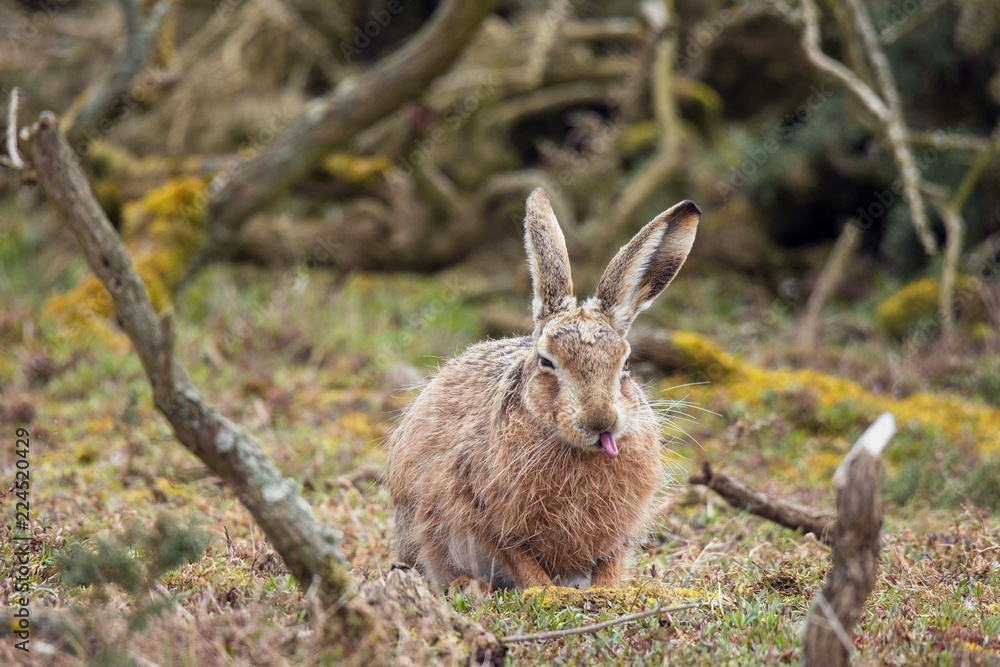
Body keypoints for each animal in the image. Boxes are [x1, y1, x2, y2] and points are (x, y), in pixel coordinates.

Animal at [385, 188, 700, 591]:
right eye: (547, 362)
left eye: (626, 363)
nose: (601, 420)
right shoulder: (485, 516)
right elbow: (518, 559)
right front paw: (547, 592)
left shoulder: (621, 529)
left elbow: (610, 559)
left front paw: (607, 590)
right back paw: (468, 586)